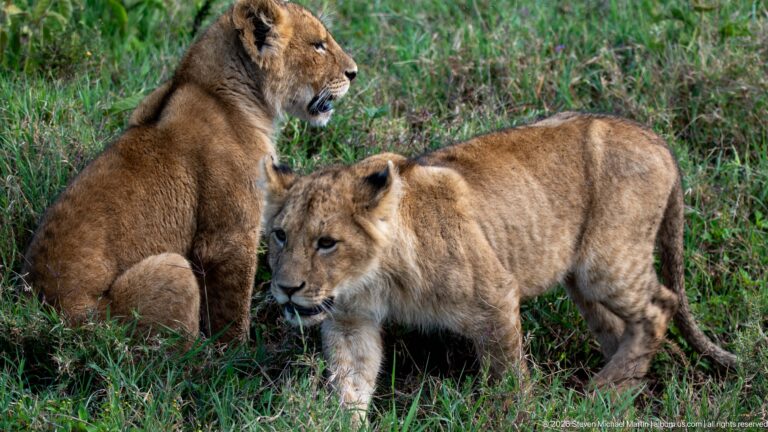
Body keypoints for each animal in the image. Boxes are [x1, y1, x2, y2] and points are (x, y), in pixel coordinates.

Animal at [22, 0, 357, 343]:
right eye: (318, 45)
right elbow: (232, 309)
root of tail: (47, 311)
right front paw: (237, 352)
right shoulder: (229, 238)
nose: (354, 73)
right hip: (170, 273)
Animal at [259, 112, 737, 418]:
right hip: (584, 281)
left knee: (660, 306)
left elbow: (508, 376)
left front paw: (518, 415)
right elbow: (351, 382)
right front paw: (340, 420)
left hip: (605, 264)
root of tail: (657, 139)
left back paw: (599, 393)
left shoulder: (494, 296)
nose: (285, 288)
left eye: (327, 243)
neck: (375, 277)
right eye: (280, 235)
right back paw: (618, 393)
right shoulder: (350, 321)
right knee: (623, 328)